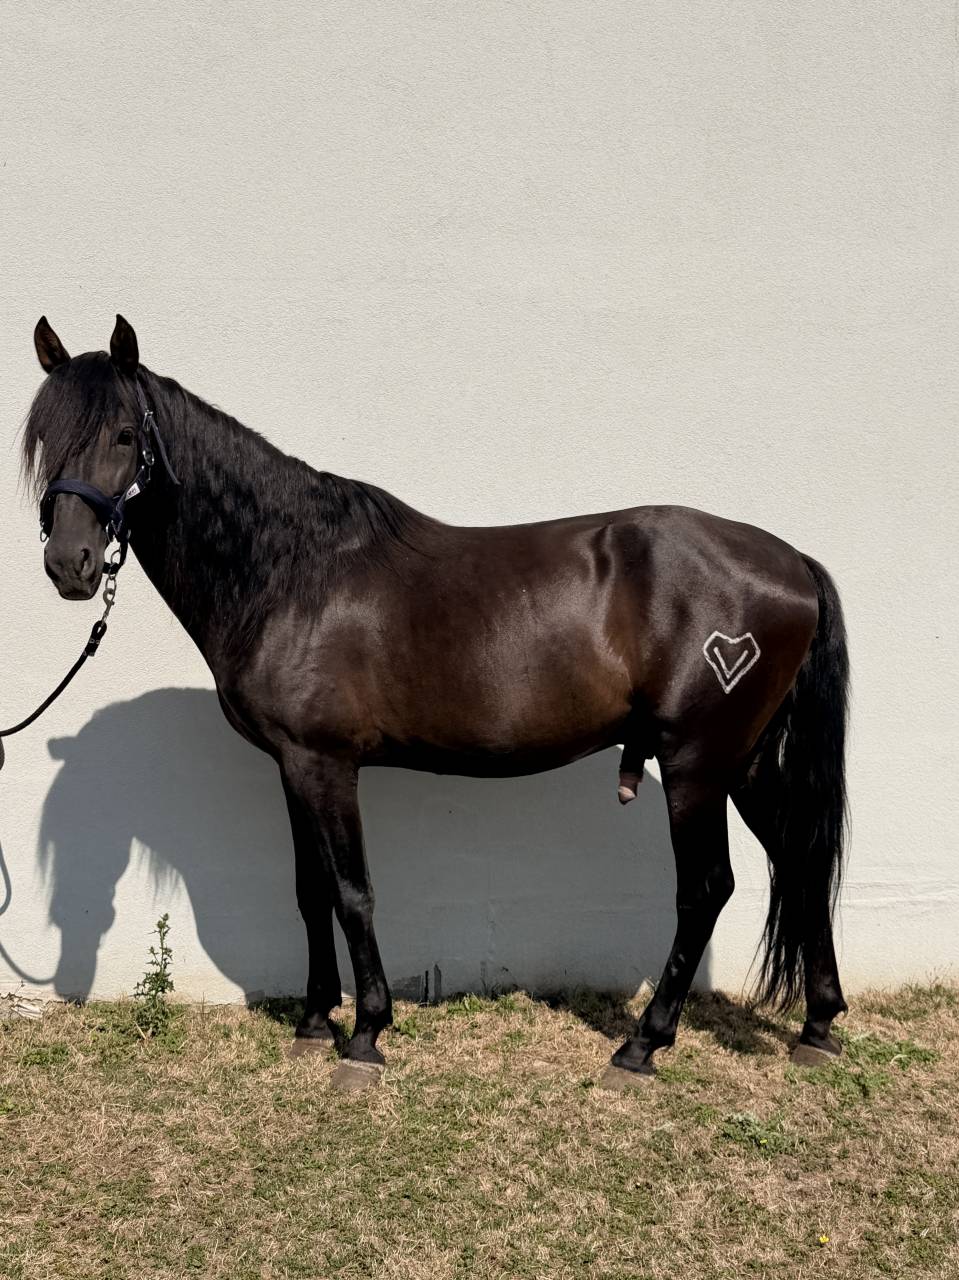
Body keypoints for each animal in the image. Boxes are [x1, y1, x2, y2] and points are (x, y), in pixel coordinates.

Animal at [22, 314, 849, 1089]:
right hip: (745, 763)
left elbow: (351, 891)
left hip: (695, 764)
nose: (70, 564)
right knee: (802, 862)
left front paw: (365, 1036)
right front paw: (315, 1022)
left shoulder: (326, 764)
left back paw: (642, 1044)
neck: (289, 571)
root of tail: (790, 562)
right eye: (41, 438)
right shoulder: (292, 766)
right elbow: (309, 890)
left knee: (707, 888)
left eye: (125, 434)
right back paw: (817, 1027)